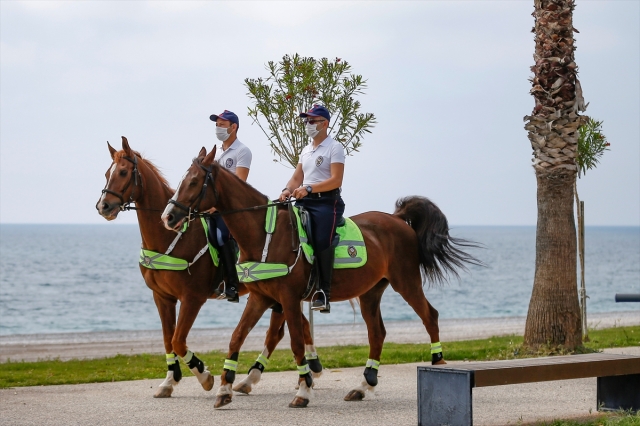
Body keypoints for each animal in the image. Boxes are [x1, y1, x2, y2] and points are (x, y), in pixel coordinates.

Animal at [97, 137, 322, 400]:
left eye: (123, 172)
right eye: (107, 173)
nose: (103, 206)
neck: (172, 238)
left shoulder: (192, 298)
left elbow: (178, 340)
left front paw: (204, 375)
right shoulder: (162, 297)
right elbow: (168, 339)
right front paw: (169, 381)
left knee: (276, 333)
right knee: (296, 327)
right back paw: (305, 369)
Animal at [161, 146, 480, 410]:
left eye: (193, 181)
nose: (169, 216)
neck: (264, 234)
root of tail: (397, 218)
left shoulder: (288, 299)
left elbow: (296, 344)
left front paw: (303, 392)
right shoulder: (261, 297)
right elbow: (236, 337)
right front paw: (224, 389)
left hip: (407, 282)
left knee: (430, 315)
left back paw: (438, 362)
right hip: (370, 292)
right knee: (377, 333)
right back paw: (363, 385)